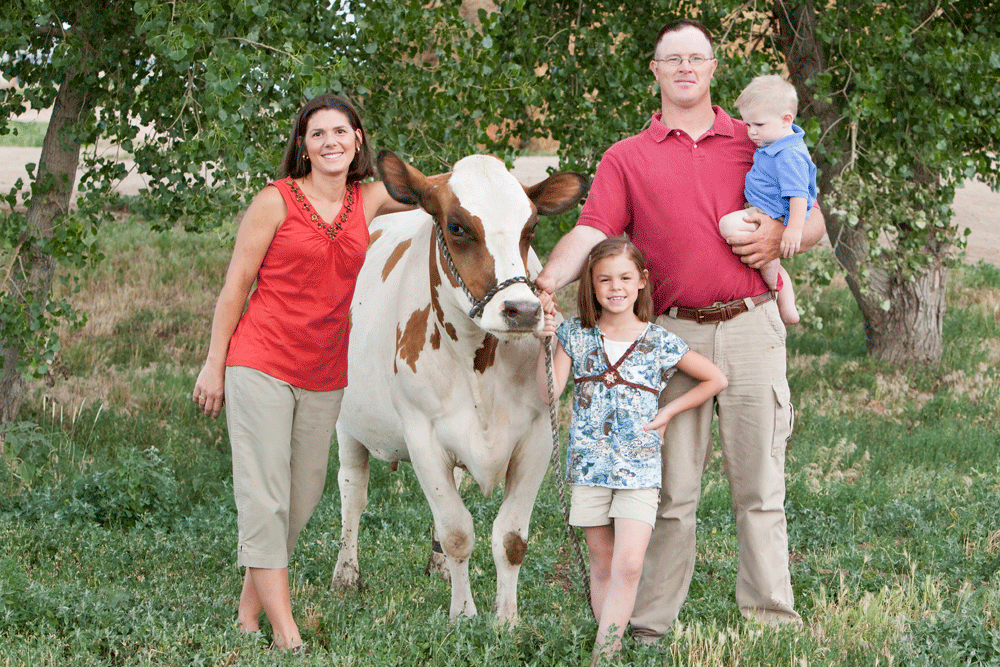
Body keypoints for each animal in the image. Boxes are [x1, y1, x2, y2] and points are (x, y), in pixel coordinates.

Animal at [336, 150, 584, 620]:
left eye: (531, 227)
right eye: (456, 227)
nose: (524, 310)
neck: (478, 364)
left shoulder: (538, 435)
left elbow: (510, 537)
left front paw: (506, 619)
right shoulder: (421, 434)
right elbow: (457, 532)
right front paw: (463, 615)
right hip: (344, 424)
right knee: (352, 493)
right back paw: (346, 575)